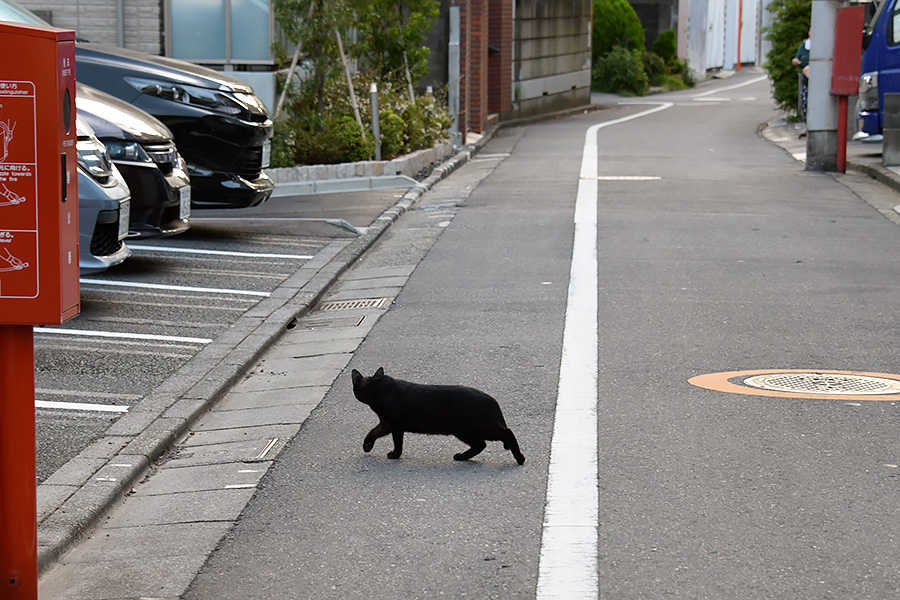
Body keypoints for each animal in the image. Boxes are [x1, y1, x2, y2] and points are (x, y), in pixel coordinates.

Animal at [348, 366, 524, 464]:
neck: (377, 390)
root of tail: (491, 400)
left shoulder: (395, 425)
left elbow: (398, 443)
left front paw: (395, 455)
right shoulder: (385, 423)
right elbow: (372, 432)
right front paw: (367, 446)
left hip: (479, 427)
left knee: (506, 432)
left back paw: (520, 458)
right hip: (463, 431)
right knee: (480, 444)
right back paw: (461, 457)